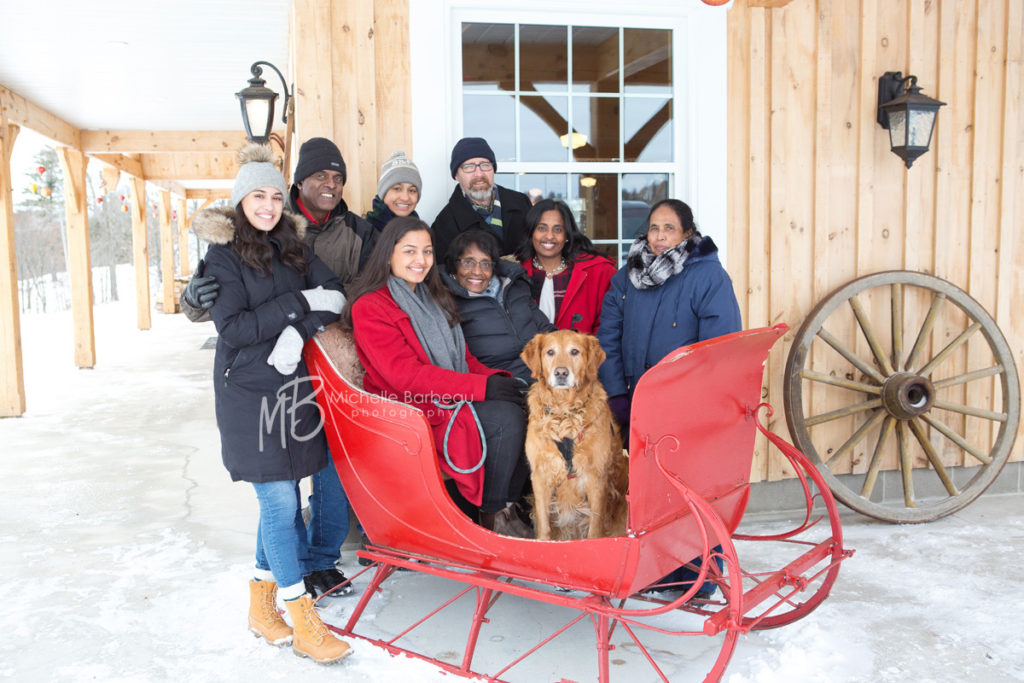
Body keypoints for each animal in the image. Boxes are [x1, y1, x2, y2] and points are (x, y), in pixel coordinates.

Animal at [524, 327, 626, 540]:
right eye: (550, 352)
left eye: (574, 352)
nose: (561, 373)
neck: (564, 411)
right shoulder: (540, 474)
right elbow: (544, 525)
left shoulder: (596, 478)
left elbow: (595, 528)